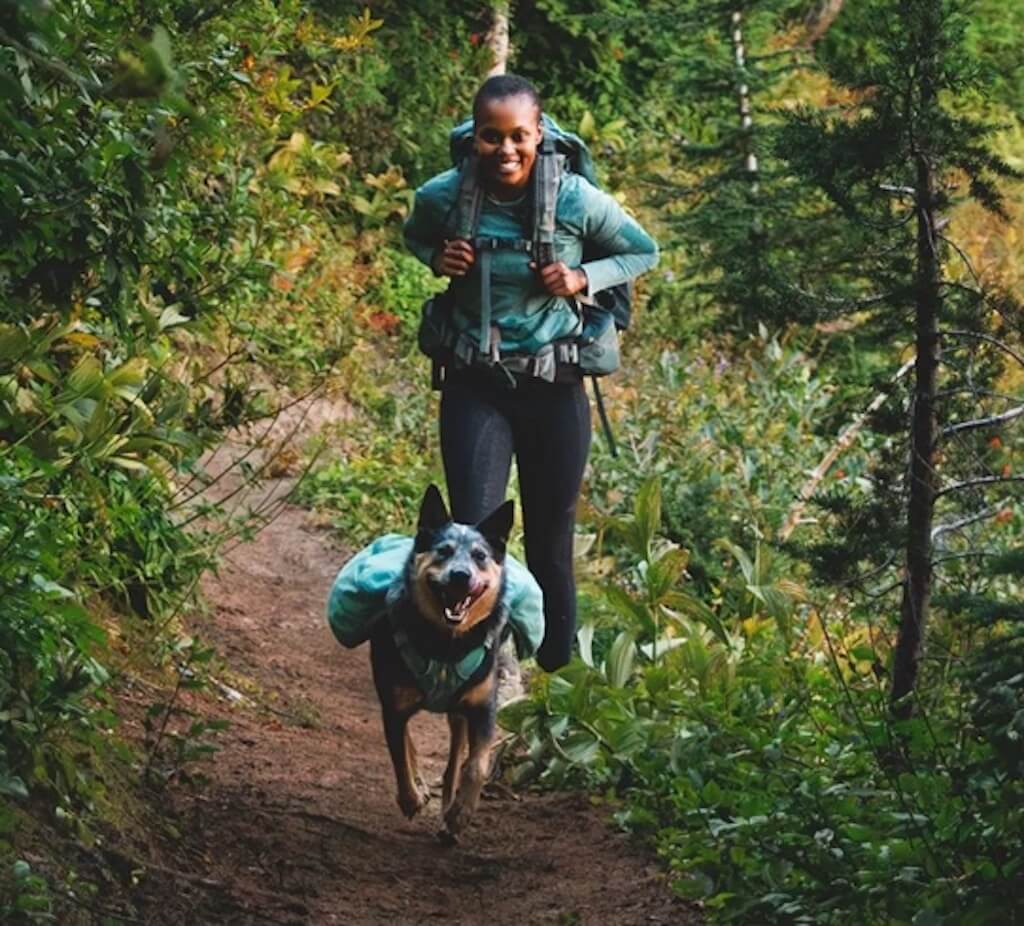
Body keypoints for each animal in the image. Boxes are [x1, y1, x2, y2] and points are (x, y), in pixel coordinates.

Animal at [370, 487, 516, 844]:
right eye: (444, 551)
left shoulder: (482, 706)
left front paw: (461, 814)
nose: (461, 576)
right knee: (407, 742)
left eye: (480, 556)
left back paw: (448, 813)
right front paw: (411, 798)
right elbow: (399, 755)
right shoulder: (394, 704)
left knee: (453, 762)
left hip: (457, 713)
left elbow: (475, 766)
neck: (446, 644)